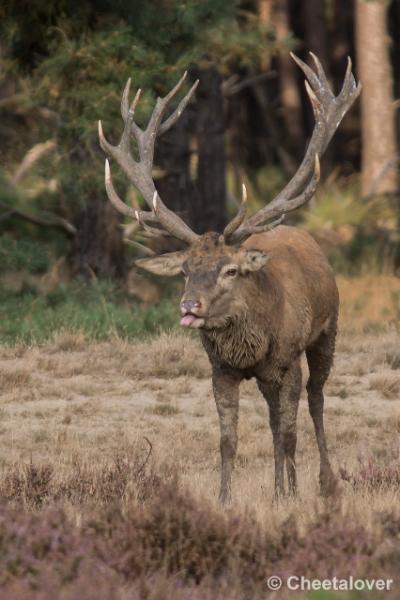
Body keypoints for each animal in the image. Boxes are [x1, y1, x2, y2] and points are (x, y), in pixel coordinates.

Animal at [98, 54, 360, 502]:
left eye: (231, 269)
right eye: (185, 270)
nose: (190, 305)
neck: (253, 346)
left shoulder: (288, 359)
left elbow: (290, 434)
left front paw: (292, 497)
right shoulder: (220, 369)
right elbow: (229, 440)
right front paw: (226, 499)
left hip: (329, 331)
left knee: (316, 399)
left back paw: (325, 480)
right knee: (273, 420)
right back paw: (282, 483)